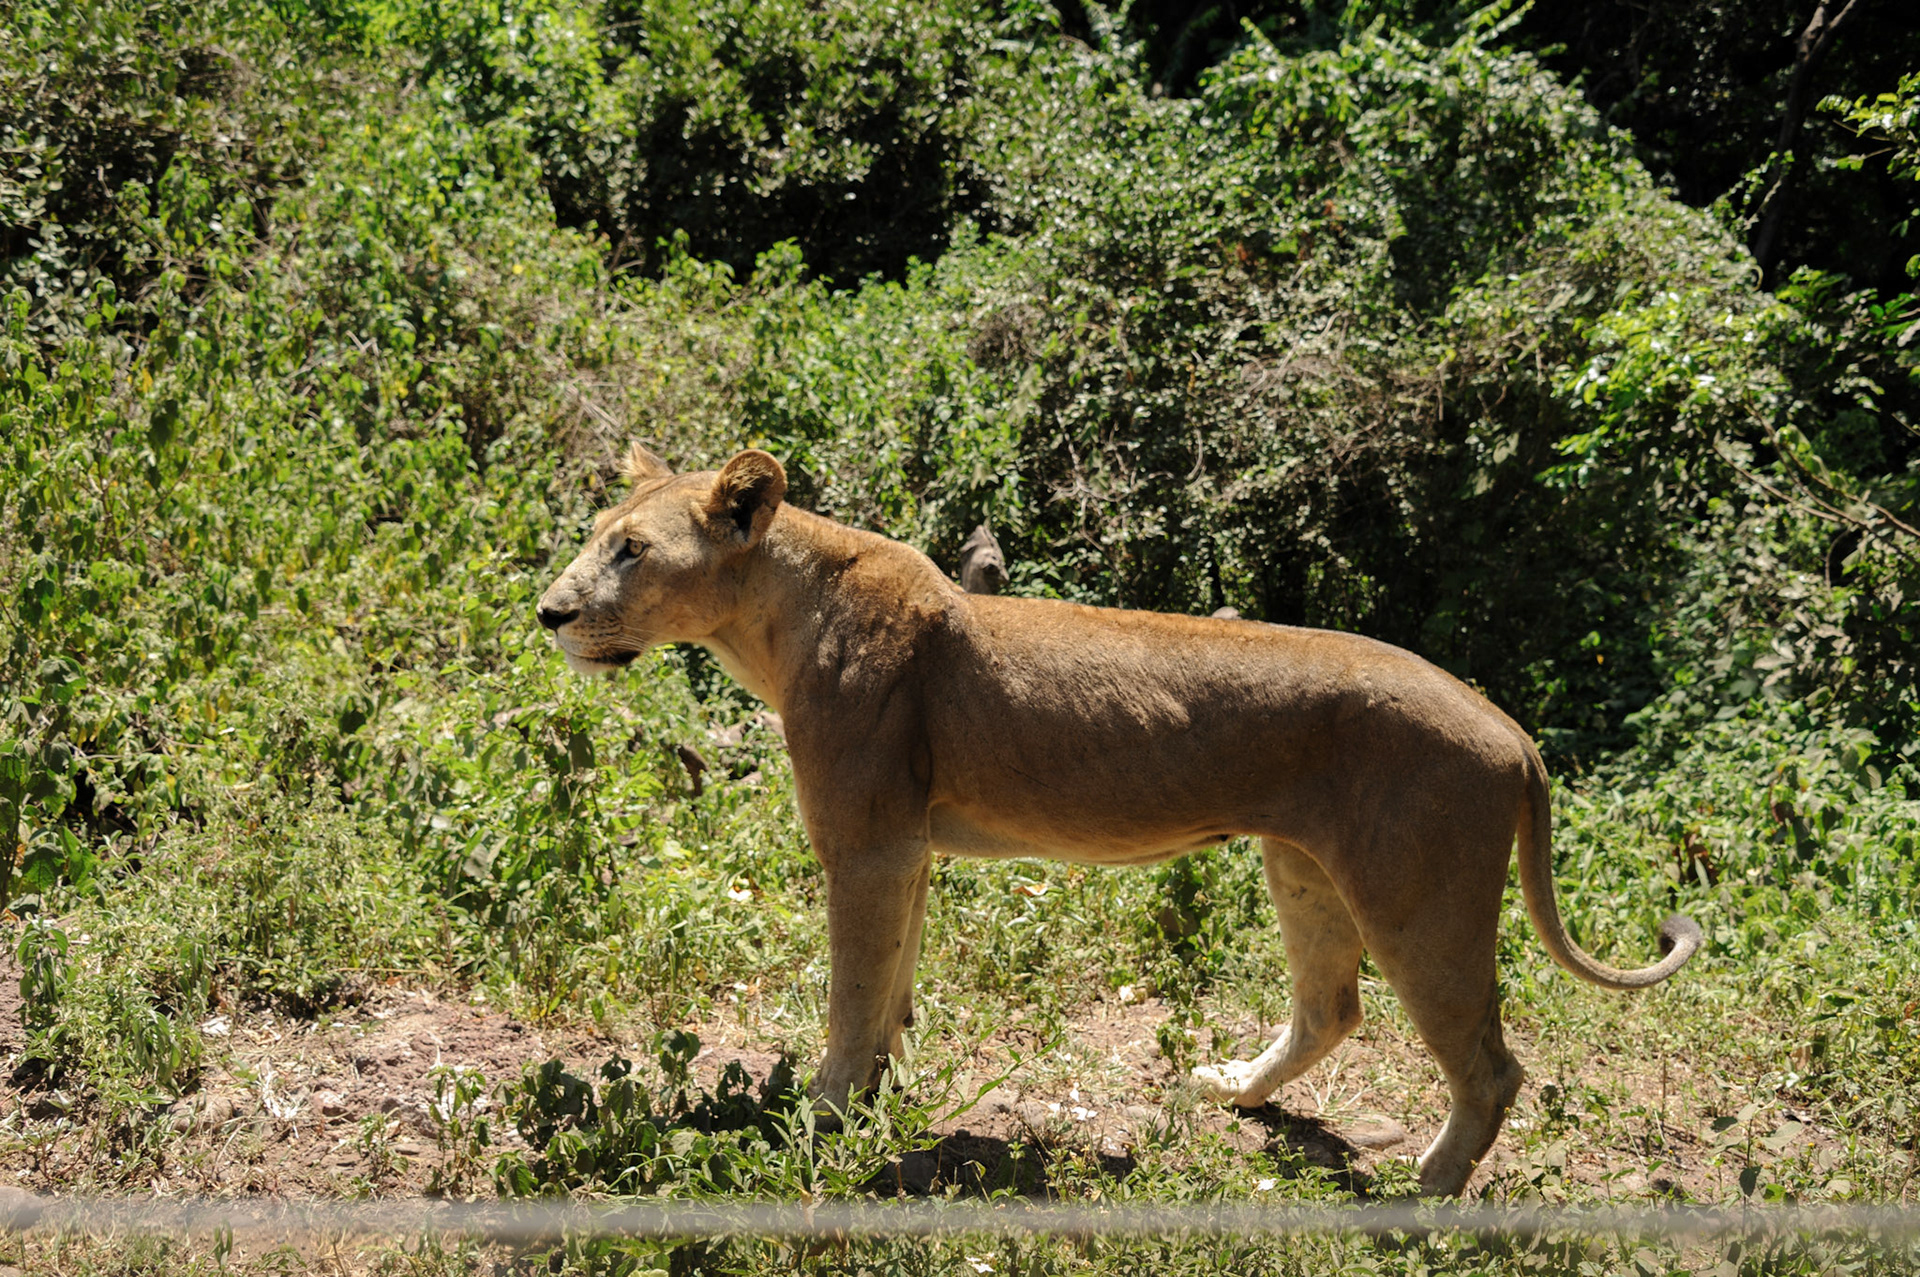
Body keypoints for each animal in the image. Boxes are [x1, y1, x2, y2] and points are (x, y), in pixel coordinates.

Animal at [536, 445, 1702, 1196]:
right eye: (596, 539)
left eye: (632, 550)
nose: (550, 611)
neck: (772, 616)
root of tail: (1511, 727)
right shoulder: (908, 847)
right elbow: (894, 981)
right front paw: (873, 1091)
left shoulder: (866, 842)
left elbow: (852, 991)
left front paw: (819, 1116)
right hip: (1305, 863)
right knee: (1332, 1005)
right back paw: (1236, 1088)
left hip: (1421, 894)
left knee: (1491, 1066)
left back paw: (1426, 1190)